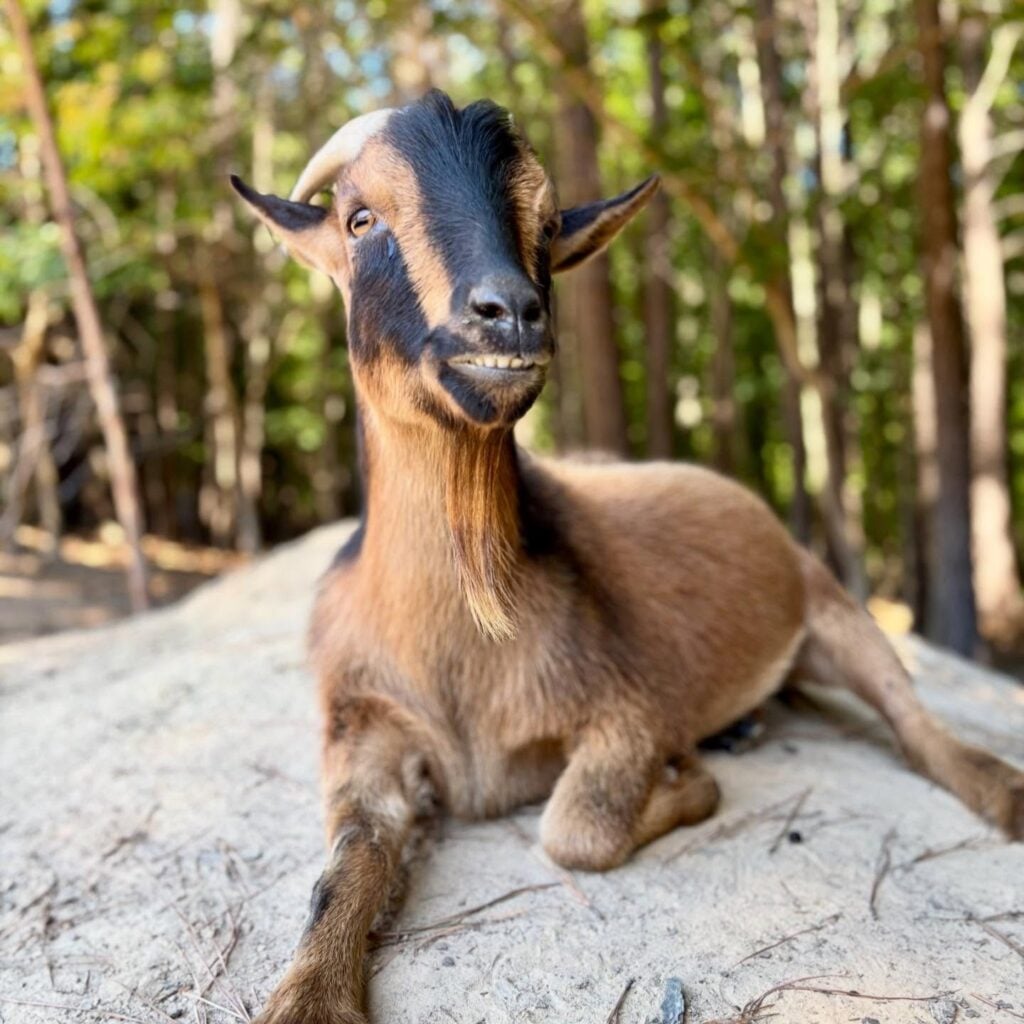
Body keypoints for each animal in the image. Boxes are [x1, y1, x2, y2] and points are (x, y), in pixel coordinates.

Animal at [232, 90, 1023, 1024]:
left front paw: (687, 780)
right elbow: (346, 859)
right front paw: (307, 997)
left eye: (544, 226)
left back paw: (1000, 793)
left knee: (913, 723)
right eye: (361, 220)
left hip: (836, 611)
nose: (508, 310)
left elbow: (575, 828)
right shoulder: (360, 726)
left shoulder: (626, 704)